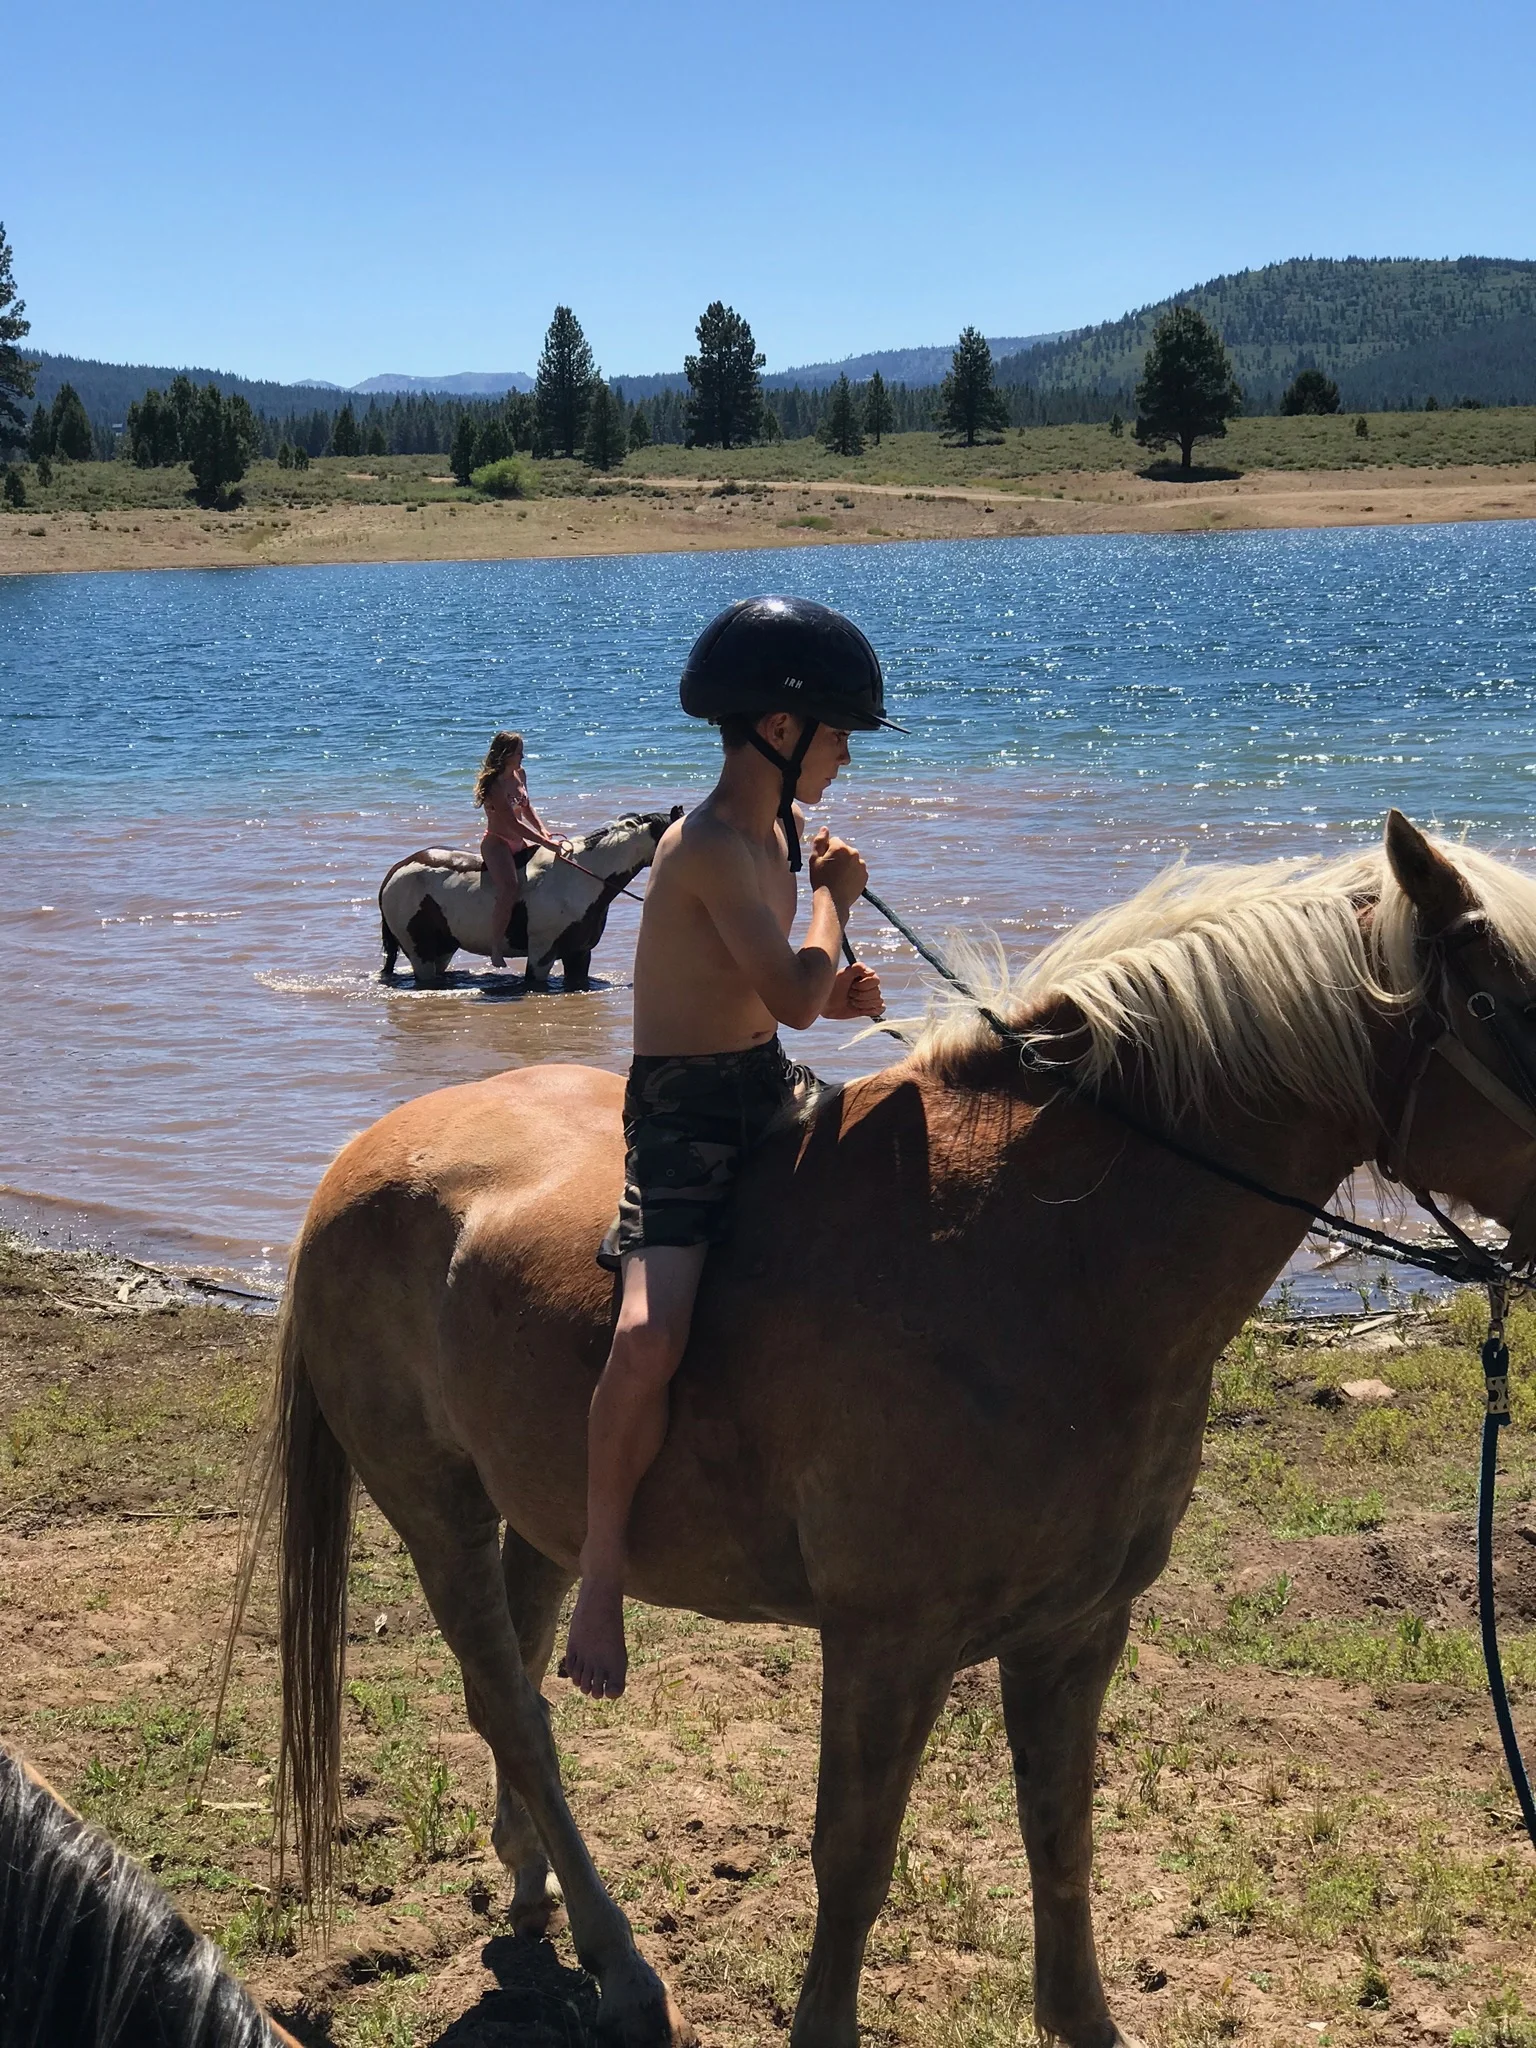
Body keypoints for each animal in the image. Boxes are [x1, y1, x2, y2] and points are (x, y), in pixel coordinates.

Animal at [378, 807, 683, 990]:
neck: (580, 879)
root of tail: (396, 870)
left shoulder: (579, 953)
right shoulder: (541, 954)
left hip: (443, 949)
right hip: (420, 951)